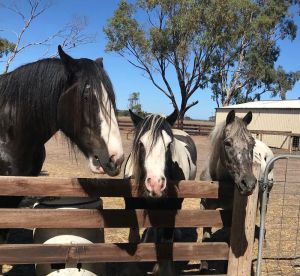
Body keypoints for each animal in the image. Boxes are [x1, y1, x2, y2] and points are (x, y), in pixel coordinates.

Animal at [123, 110, 198, 276]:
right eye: (141, 144)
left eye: (169, 144)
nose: (155, 184)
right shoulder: (131, 205)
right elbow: (133, 237)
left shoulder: (171, 208)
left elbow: (166, 240)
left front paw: (162, 269)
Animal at [200, 109, 274, 272]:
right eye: (227, 143)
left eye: (251, 143)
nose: (249, 184)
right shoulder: (205, 207)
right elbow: (206, 236)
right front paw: (204, 266)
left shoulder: (232, 210)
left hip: (265, 195)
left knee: (263, 215)